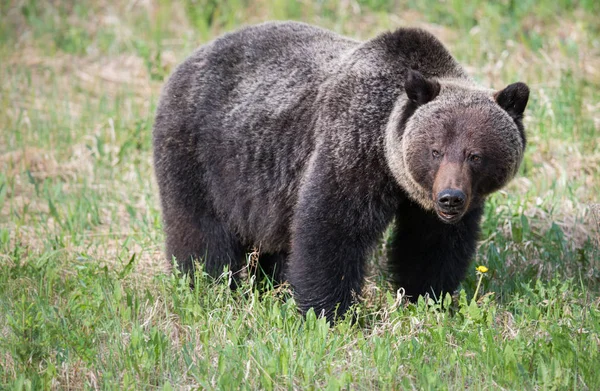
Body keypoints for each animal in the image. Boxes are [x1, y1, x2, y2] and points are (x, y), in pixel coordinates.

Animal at [155, 20, 528, 322]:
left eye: (475, 155)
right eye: (435, 150)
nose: (451, 198)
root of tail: (189, 59)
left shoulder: (431, 207)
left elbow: (432, 246)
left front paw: (428, 298)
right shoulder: (351, 151)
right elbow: (331, 231)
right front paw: (329, 313)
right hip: (202, 157)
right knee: (200, 232)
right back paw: (206, 288)